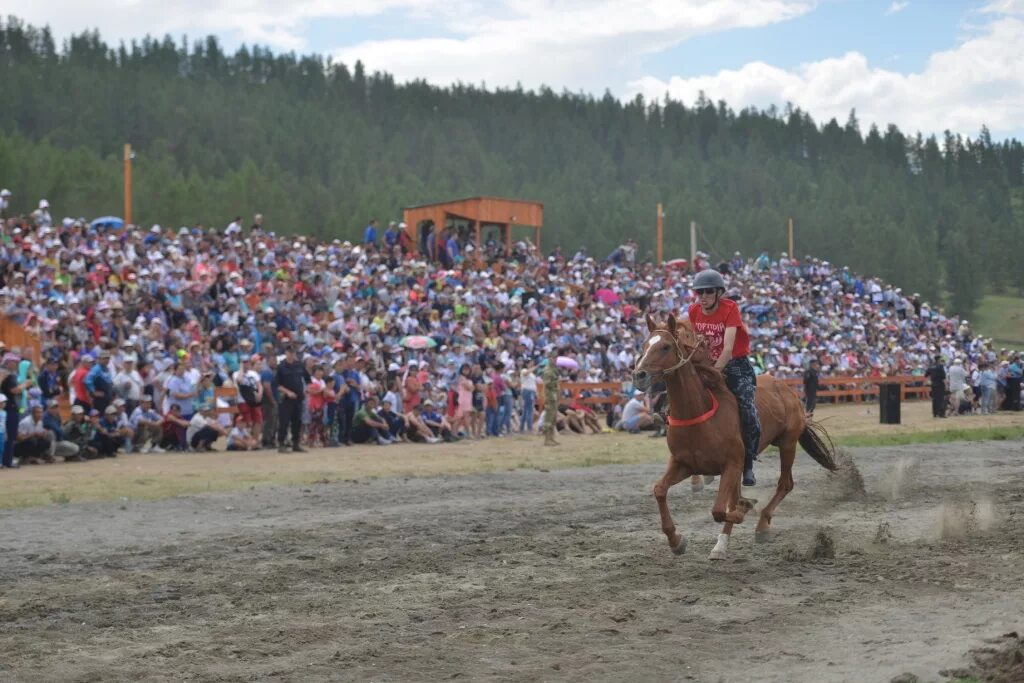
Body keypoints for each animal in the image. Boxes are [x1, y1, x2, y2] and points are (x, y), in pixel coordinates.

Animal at [630, 315, 839, 561]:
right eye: (644, 345)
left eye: (665, 346)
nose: (639, 375)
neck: (699, 412)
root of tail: (787, 390)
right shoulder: (683, 464)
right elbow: (660, 490)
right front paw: (676, 540)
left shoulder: (731, 464)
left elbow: (720, 510)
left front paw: (745, 508)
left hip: (787, 443)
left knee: (785, 484)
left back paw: (760, 526)